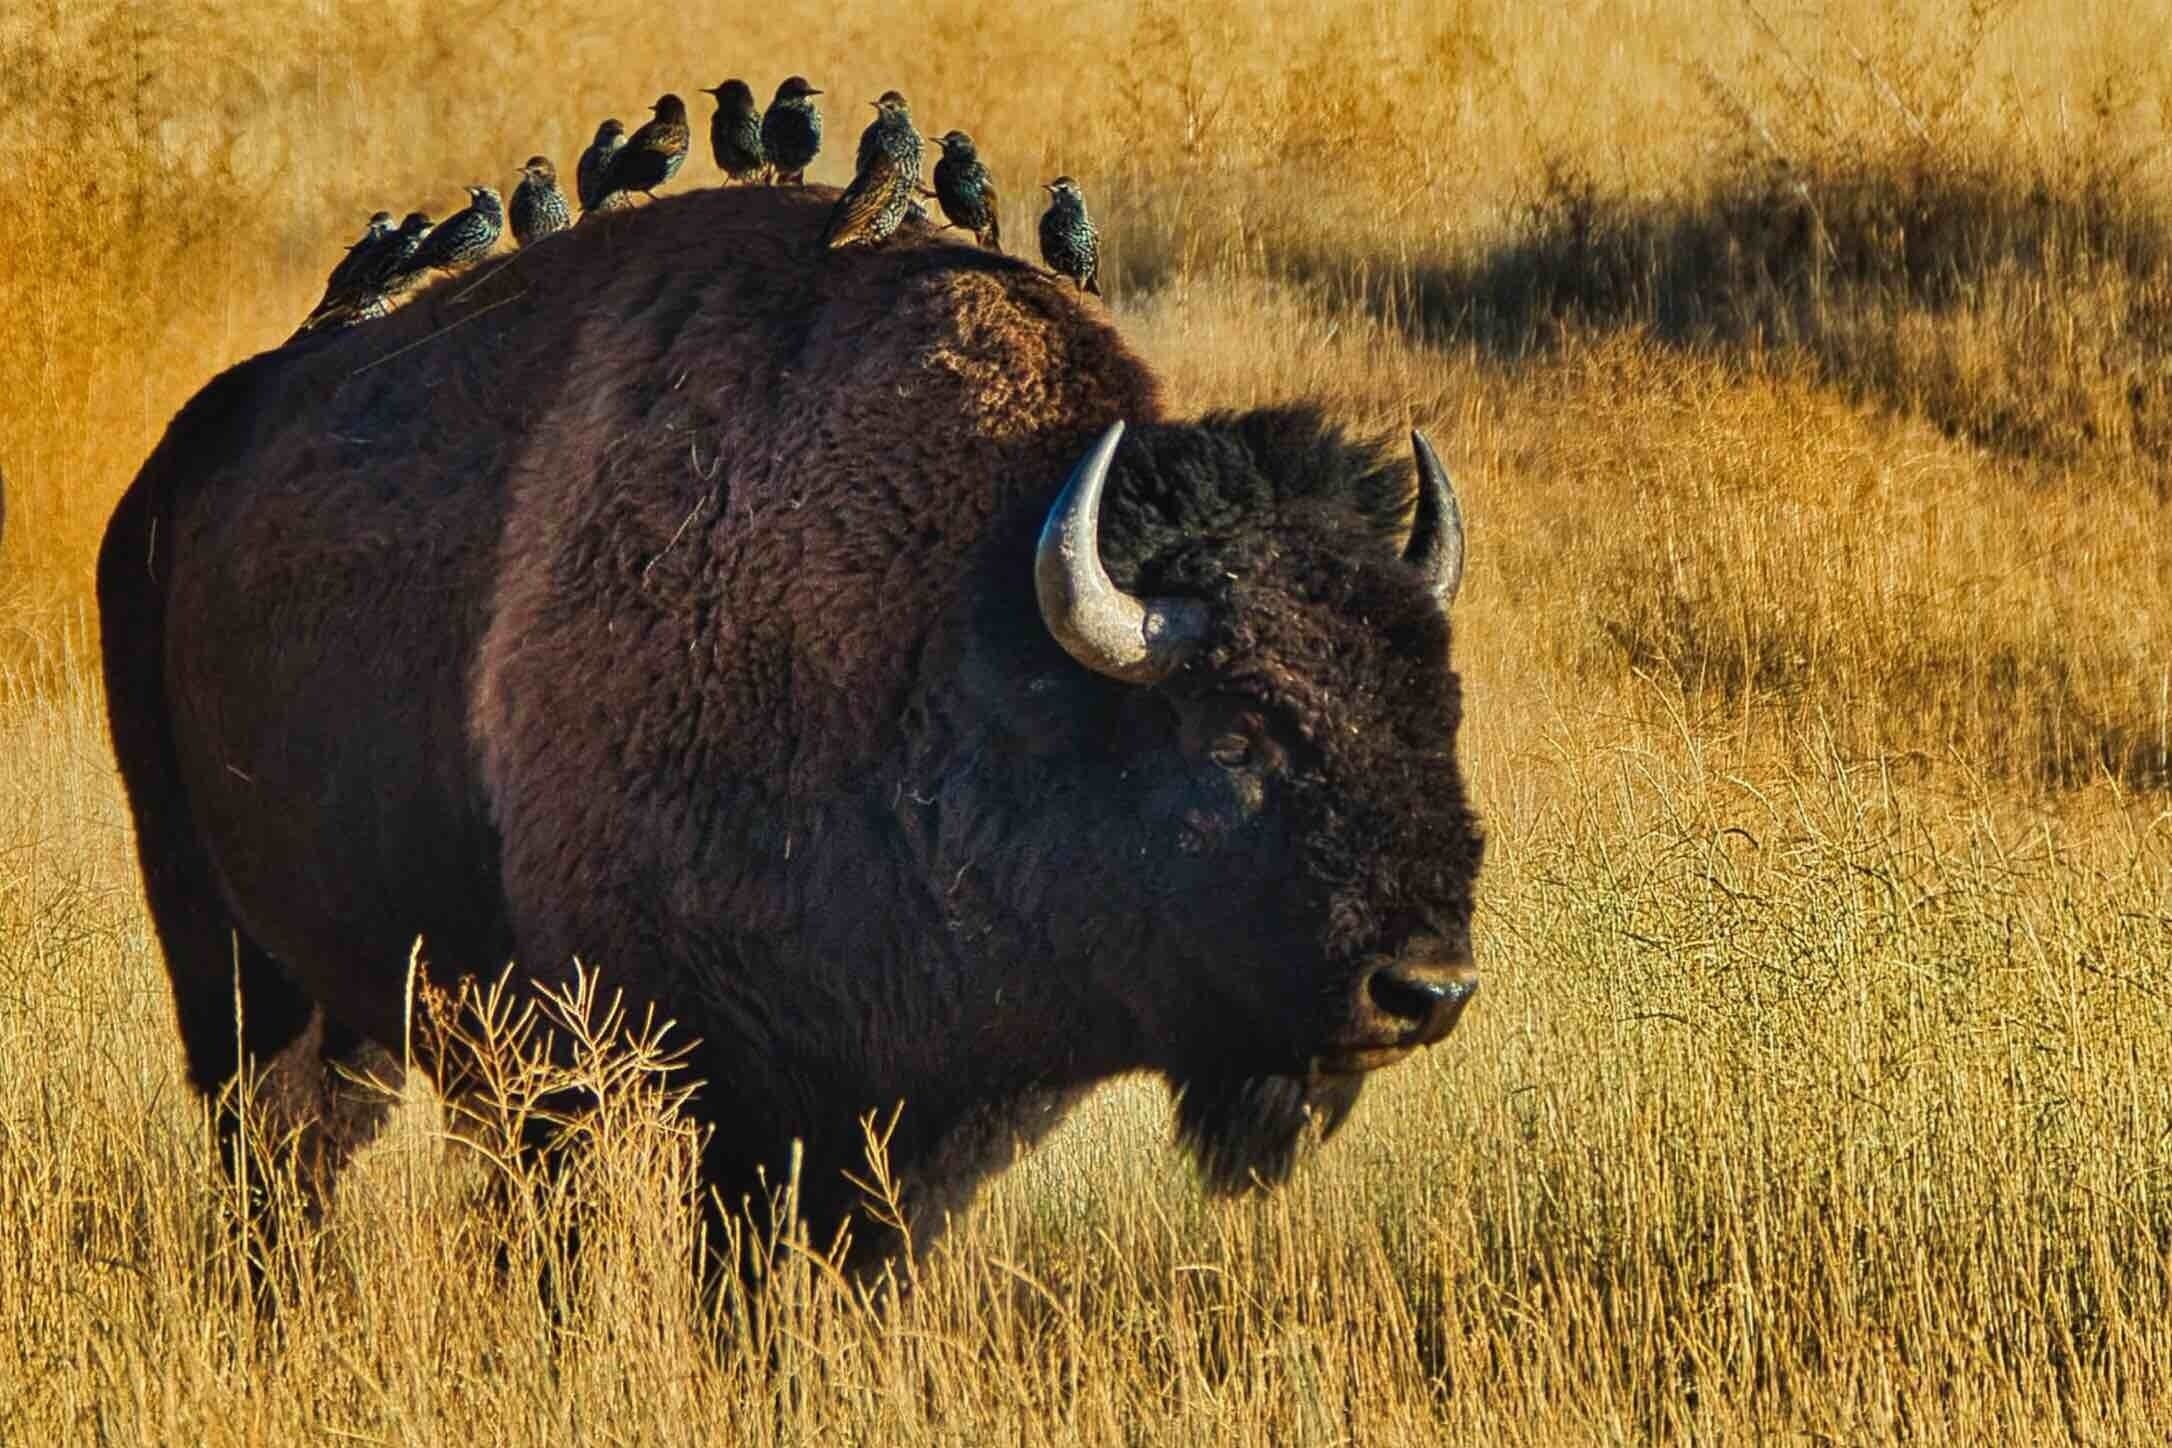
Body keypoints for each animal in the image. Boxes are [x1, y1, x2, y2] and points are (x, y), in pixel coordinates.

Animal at [98, 186, 1482, 1270]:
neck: (956, 625)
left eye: (1434, 705)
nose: (1425, 986)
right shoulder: (639, 1078)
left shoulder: (902, 1114)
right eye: (1234, 732)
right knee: (268, 1137)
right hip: (218, 949)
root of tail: (177, 464)